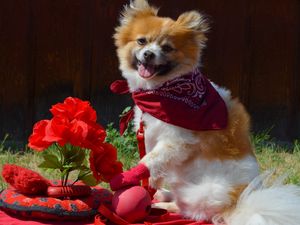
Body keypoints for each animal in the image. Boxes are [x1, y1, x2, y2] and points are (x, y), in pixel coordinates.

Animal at [109, 0, 300, 224]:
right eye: (141, 41)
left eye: (167, 48)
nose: (149, 53)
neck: (162, 91)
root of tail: (239, 205)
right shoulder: (150, 135)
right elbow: (155, 164)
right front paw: (151, 185)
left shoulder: (177, 141)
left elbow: (149, 160)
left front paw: (131, 176)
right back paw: (162, 195)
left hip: (199, 192)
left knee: (192, 211)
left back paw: (161, 204)